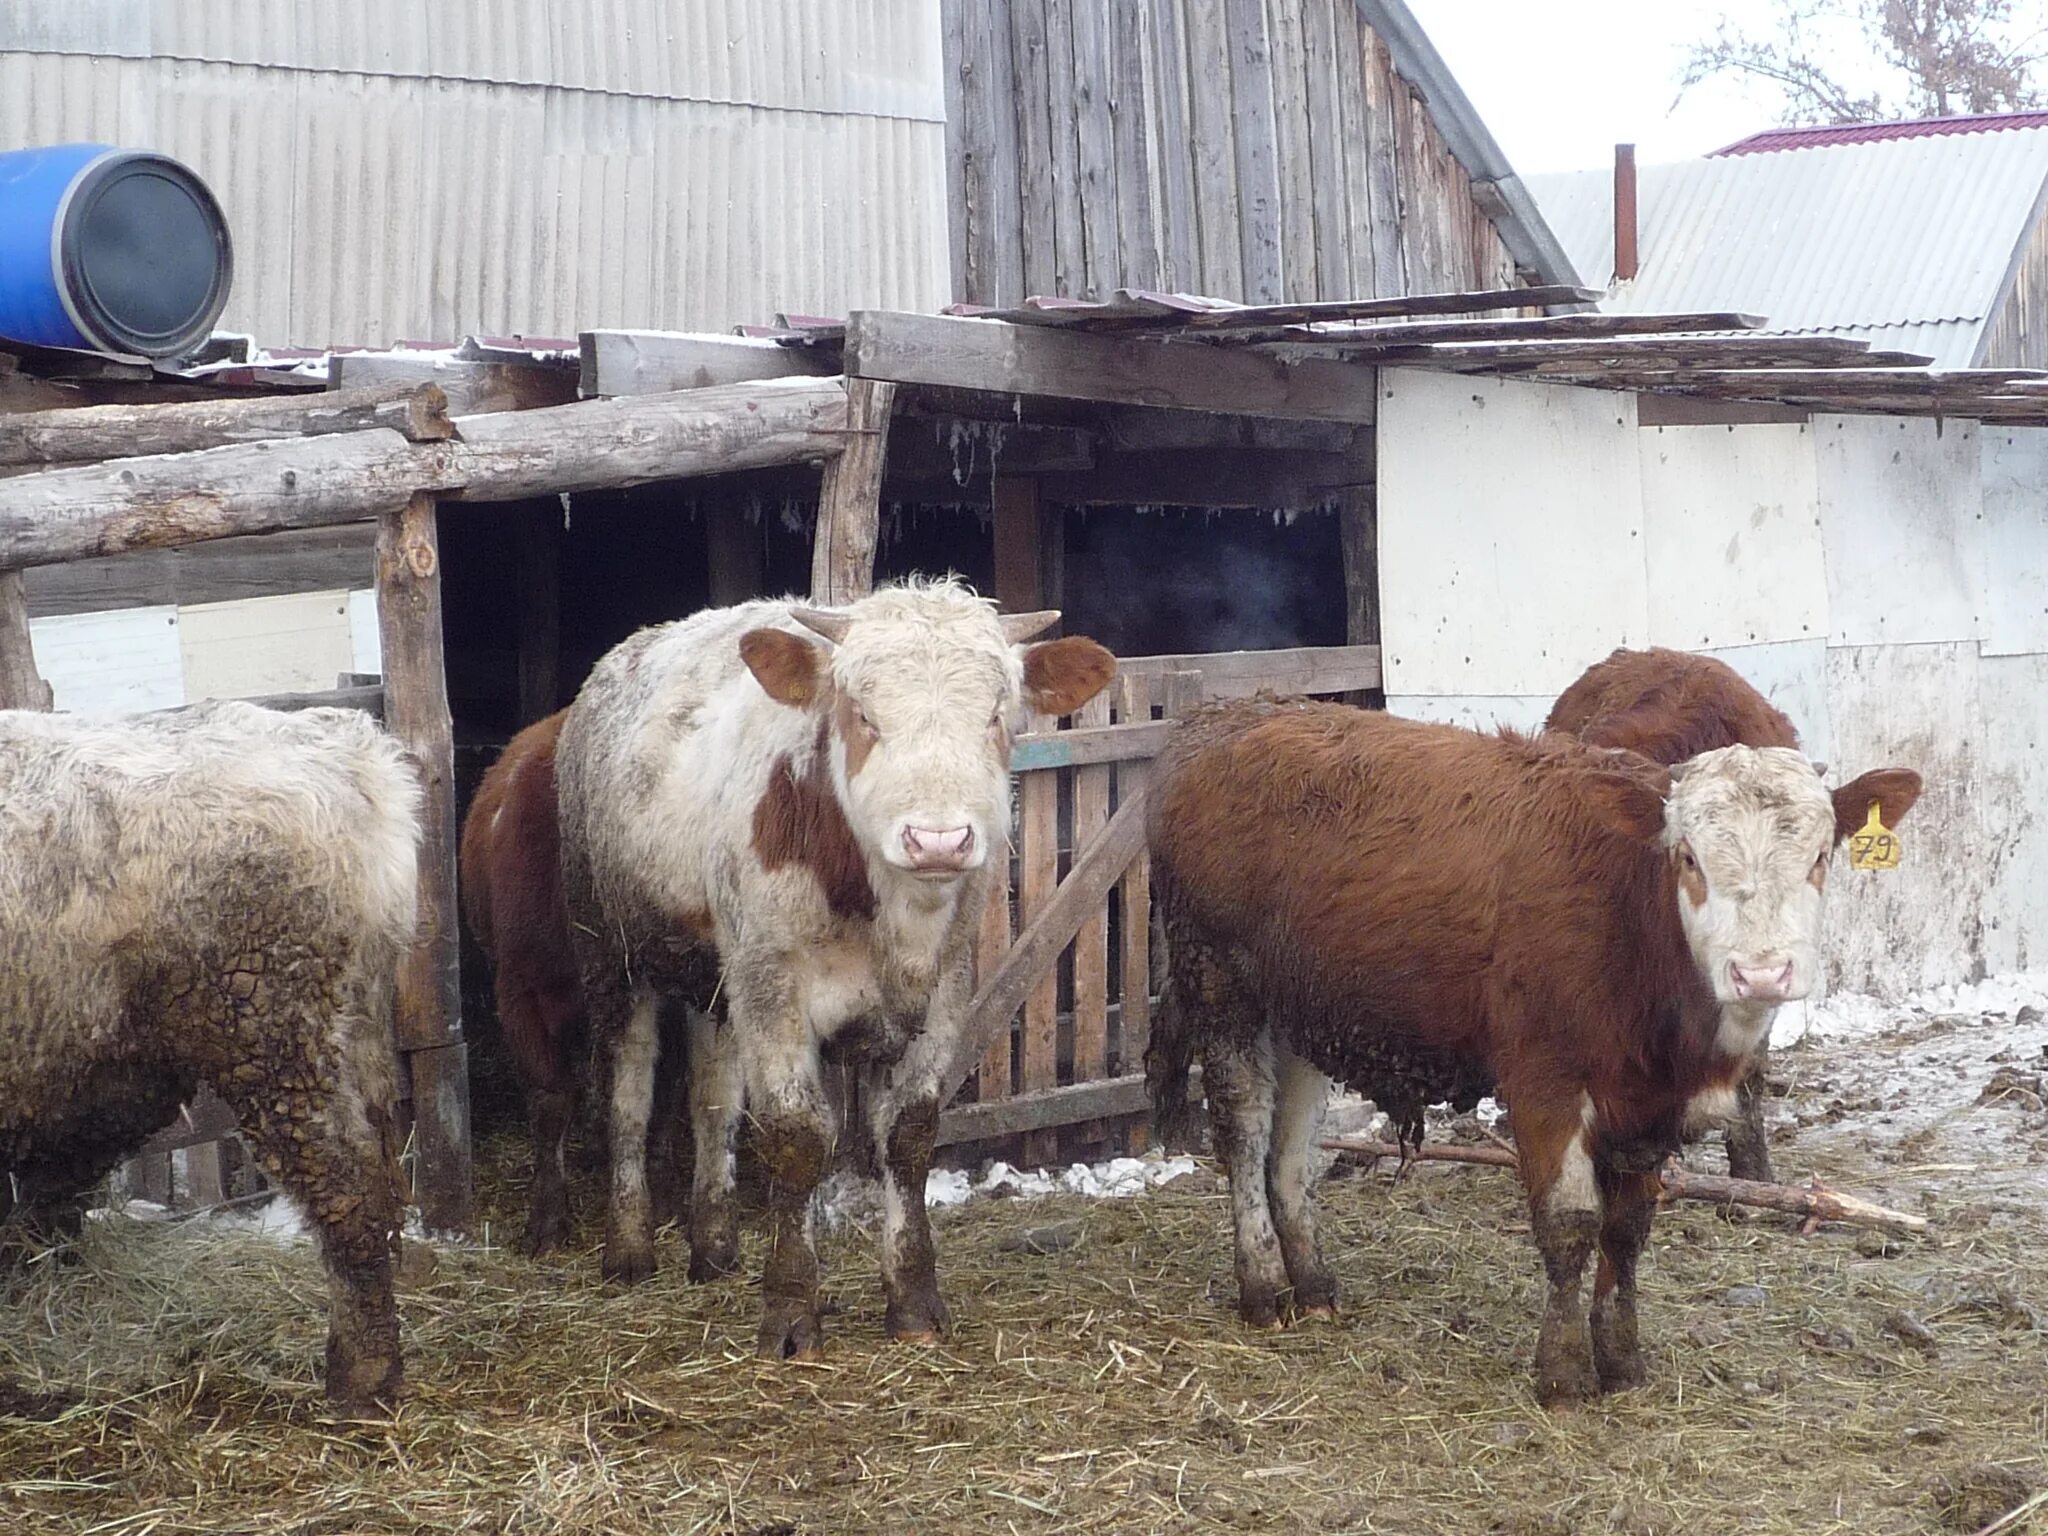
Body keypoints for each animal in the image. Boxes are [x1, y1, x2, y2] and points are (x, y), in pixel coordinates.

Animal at [557, 581, 1122, 1359]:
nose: (938, 839)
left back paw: (714, 1248)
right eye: (861, 714)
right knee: (628, 1095)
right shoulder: (772, 985)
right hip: (611, 954)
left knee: (712, 1101)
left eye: (997, 716)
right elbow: (796, 1138)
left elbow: (908, 1137)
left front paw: (913, 1301)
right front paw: (792, 1312)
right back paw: (630, 1249)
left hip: (716, 978)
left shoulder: (943, 991)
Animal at [1146, 704, 1908, 1417]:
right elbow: (1571, 1224)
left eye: (1819, 857)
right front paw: (1564, 1373)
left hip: (1301, 1010)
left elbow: (1627, 1231)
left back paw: (1314, 1285)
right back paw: (1262, 1285)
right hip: (1219, 982)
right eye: (1689, 857)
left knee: (1293, 1147)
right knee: (1245, 1131)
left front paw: (1622, 1359)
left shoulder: (1646, 1105)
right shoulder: (1545, 1079)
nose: (1762, 973)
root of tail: (1236, 717)